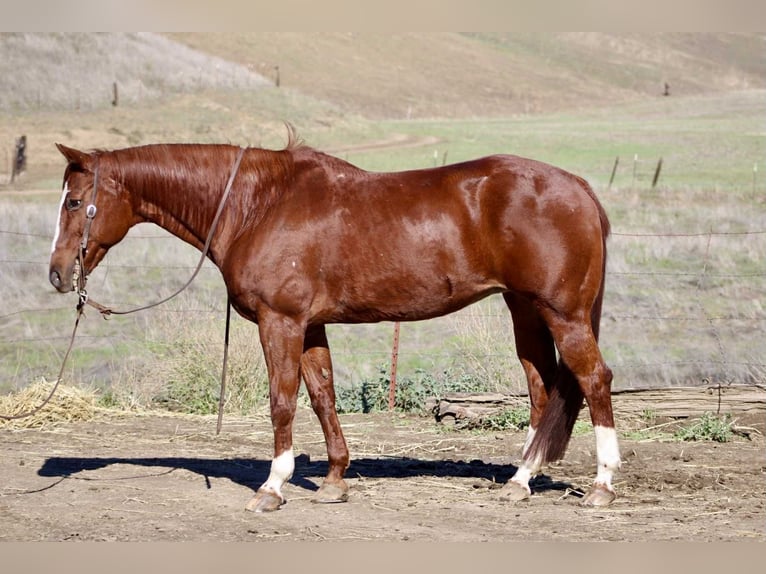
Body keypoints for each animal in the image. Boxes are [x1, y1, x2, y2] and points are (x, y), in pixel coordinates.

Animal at [49, 129, 620, 512]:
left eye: (75, 201)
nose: (57, 273)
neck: (258, 204)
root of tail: (579, 188)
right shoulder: (309, 325)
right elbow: (322, 395)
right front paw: (333, 481)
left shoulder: (279, 321)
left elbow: (282, 401)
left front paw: (272, 487)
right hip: (525, 311)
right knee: (543, 390)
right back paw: (522, 480)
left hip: (563, 314)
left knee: (594, 380)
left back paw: (601, 486)